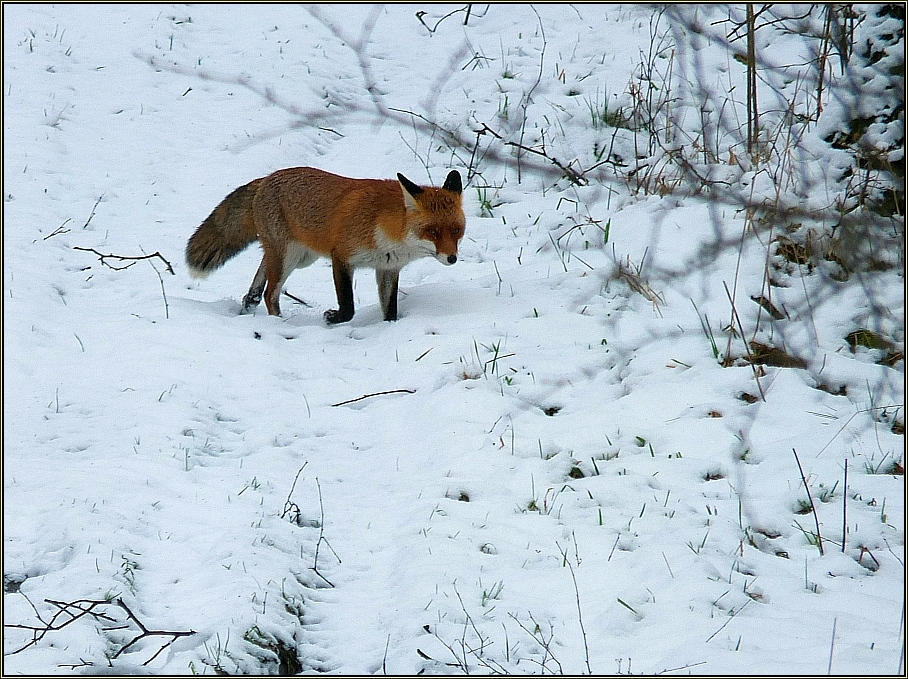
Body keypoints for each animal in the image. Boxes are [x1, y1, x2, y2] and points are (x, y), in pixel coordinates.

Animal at [186, 167, 468, 322]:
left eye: (456, 230)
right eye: (432, 231)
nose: (452, 258)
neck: (386, 229)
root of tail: (267, 178)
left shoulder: (388, 268)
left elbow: (390, 309)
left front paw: (389, 328)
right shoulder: (341, 257)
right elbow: (349, 306)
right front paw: (333, 319)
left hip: (298, 257)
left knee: (259, 281)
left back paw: (249, 302)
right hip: (289, 257)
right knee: (270, 294)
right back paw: (278, 323)